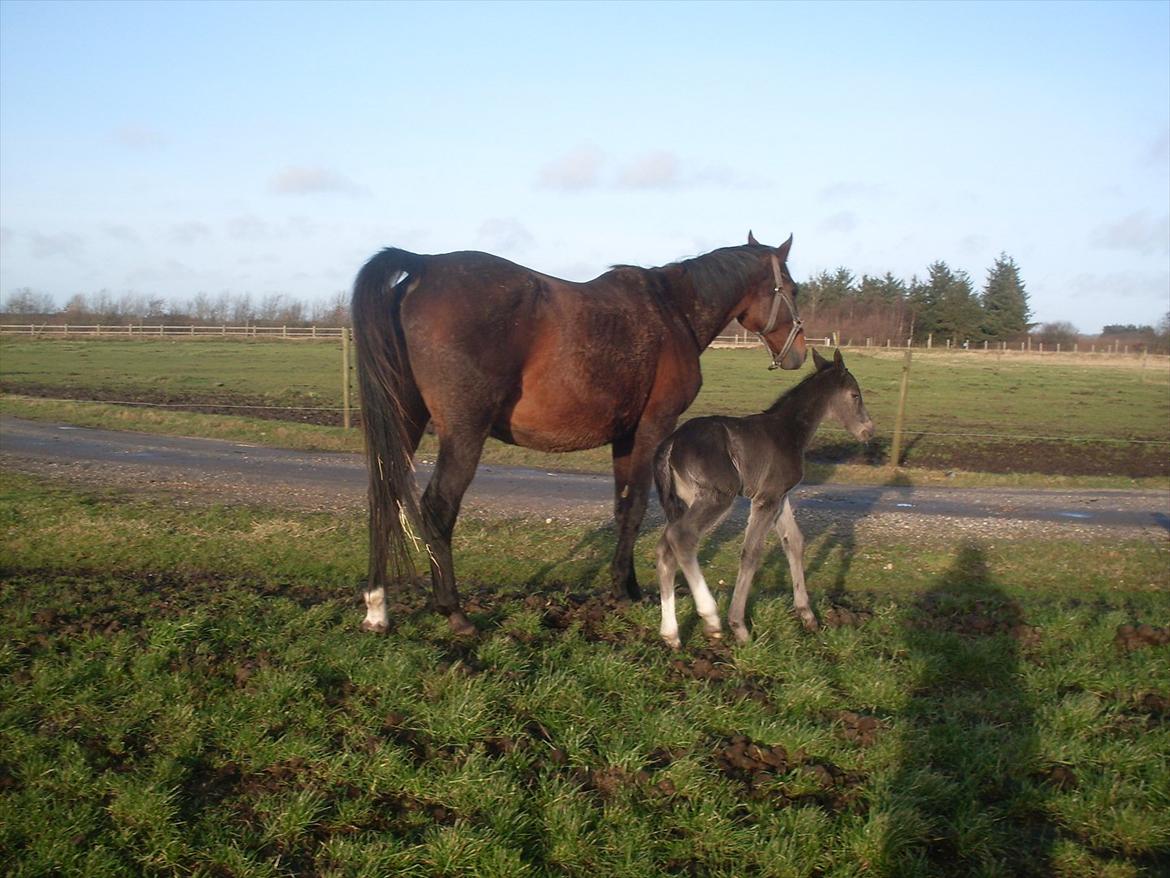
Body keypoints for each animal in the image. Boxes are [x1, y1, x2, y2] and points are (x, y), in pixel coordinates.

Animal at [346, 230, 804, 636]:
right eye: (793, 288)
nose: (798, 353)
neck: (671, 309)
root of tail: (423, 266)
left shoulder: (624, 437)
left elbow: (622, 508)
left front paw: (623, 585)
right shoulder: (653, 428)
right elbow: (636, 507)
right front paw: (627, 590)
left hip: (404, 421)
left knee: (383, 497)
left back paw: (376, 607)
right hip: (463, 433)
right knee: (438, 508)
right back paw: (453, 611)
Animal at [655, 346, 875, 650]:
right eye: (854, 395)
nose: (869, 430)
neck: (789, 430)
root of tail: (671, 443)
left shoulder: (780, 497)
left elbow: (794, 542)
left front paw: (807, 616)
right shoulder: (766, 499)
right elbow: (751, 552)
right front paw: (739, 627)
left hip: (682, 503)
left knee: (666, 547)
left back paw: (671, 634)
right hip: (716, 498)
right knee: (682, 537)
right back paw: (711, 619)